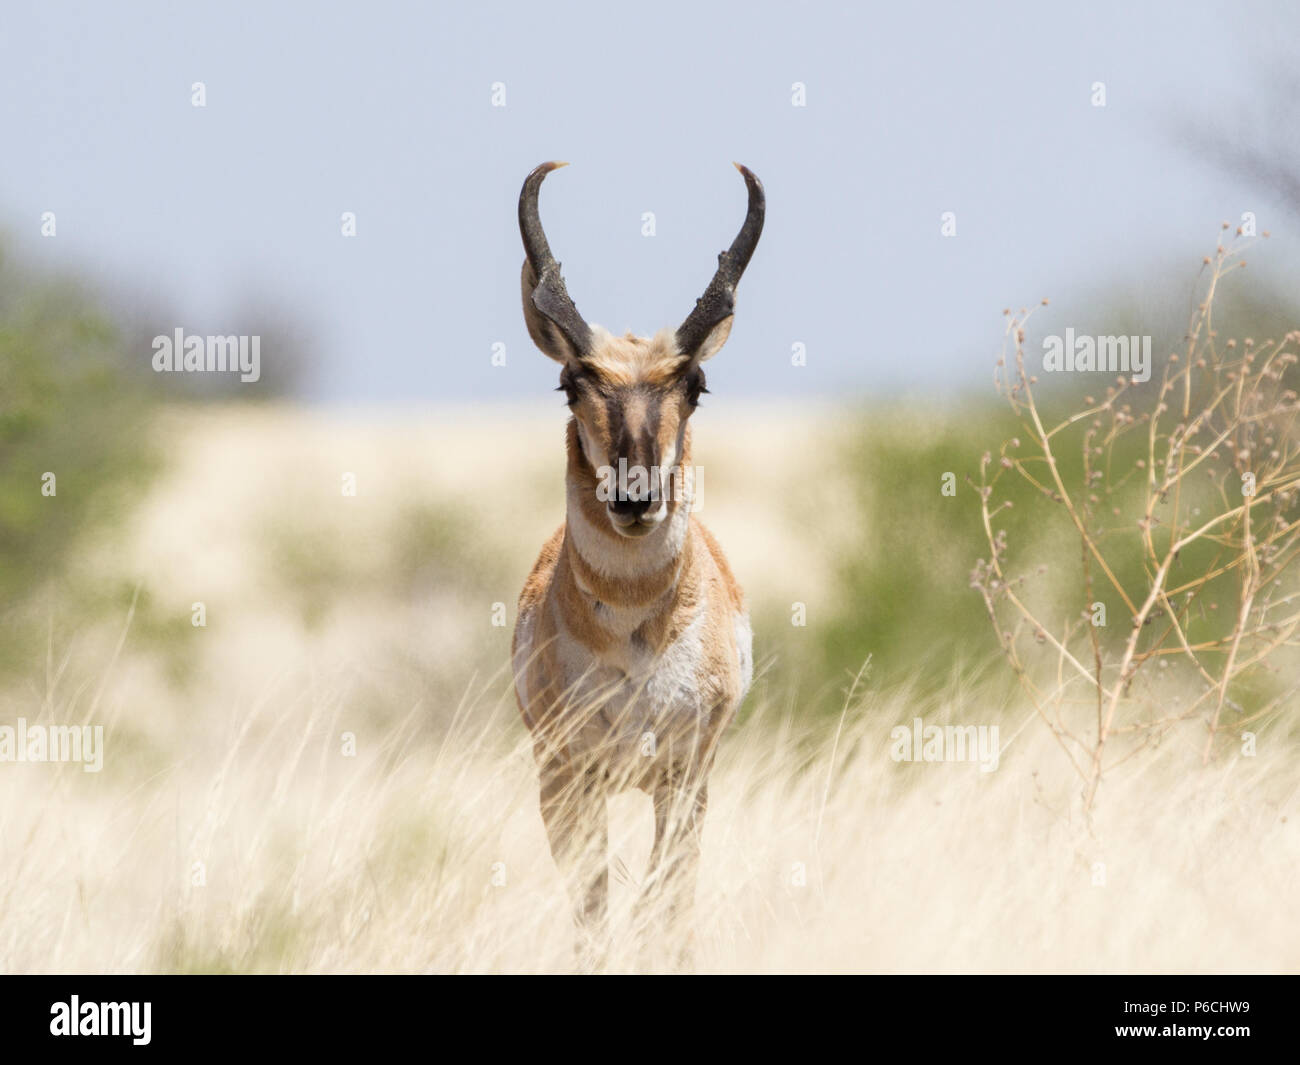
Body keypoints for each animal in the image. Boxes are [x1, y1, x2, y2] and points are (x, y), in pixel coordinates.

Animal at [511, 161, 764, 968]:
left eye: (695, 385)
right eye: (572, 381)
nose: (634, 497)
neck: (629, 632)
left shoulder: (683, 778)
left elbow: (667, 907)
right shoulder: (565, 780)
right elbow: (592, 912)